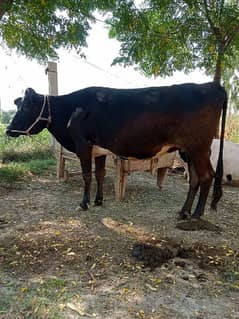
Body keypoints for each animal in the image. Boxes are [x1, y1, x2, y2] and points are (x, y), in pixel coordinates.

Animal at [5, 83, 226, 220]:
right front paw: (98, 201)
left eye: (24, 108)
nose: (7, 130)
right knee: (195, 179)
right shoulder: (100, 150)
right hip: (188, 151)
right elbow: (100, 174)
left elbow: (87, 175)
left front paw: (84, 203)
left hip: (199, 148)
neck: (71, 109)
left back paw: (196, 214)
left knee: (207, 177)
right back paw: (183, 212)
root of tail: (212, 86)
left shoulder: (82, 145)